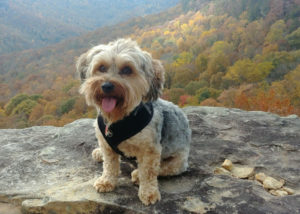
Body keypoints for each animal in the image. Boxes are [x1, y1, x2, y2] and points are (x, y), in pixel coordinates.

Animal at [76, 38, 191, 206]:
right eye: (101, 67)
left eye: (127, 70)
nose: (106, 85)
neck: (119, 119)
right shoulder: (106, 144)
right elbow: (110, 164)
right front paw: (107, 181)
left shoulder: (150, 149)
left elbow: (148, 172)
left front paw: (148, 192)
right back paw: (99, 153)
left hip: (178, 161)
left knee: (162, 168)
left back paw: (137, 174)